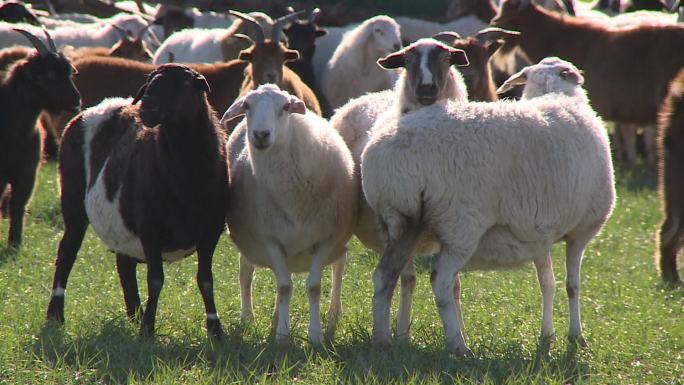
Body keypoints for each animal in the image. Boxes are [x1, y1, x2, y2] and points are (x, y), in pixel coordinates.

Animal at [220, 83, 358, 342]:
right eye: (246, 105)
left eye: (286, 107)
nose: (261, 135)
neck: (291, 197)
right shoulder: (270, 240)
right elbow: (284, 287)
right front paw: (282, 335)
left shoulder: (326, 238)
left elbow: (314, 287)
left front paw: (315, 335)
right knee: (247, 274)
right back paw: (249, 318)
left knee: (338, 267)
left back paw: (333, 315)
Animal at [364, 56, 616, 354]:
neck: (555, 94)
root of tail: (383, 151)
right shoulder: (581, 230)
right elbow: (572, 285)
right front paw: (576, 337)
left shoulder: (538, 232)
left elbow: (548, 284)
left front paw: (547, 336)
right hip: (460, 223)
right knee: (441, 281)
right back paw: (459, 346)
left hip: (399, 220)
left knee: (385, 277)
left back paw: (382, 340)